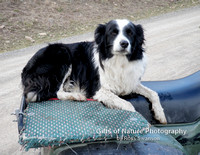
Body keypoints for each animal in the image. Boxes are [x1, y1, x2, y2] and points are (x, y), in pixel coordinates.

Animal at [21, 19, 167, 123]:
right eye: (113, 33)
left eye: (130, 33)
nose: (124, 43)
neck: (118, 61)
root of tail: (26, 67)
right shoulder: (97, 89)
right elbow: (129, 105)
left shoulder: (130, 82)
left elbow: (153, 93)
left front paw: (160, 114)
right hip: (61, 53)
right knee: (54, 91)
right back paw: (76, 96)